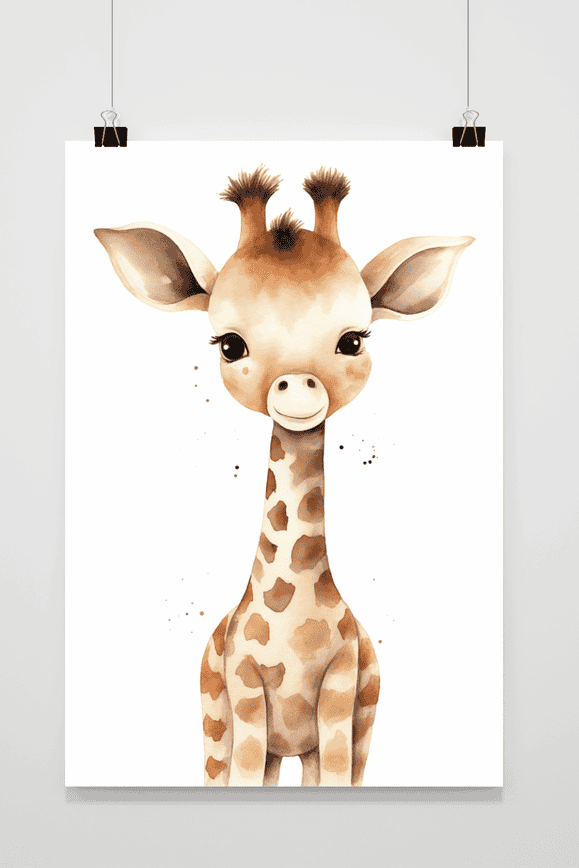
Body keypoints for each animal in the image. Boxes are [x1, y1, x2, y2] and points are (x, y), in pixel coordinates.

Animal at [95, 165, 474, 786]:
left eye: (353, 340)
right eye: (230, 344)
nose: (296, 388)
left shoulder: (341, 702)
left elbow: (337, 773)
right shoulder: (245, 696)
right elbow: (243, 774)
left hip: (349, 728)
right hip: (218, 724)